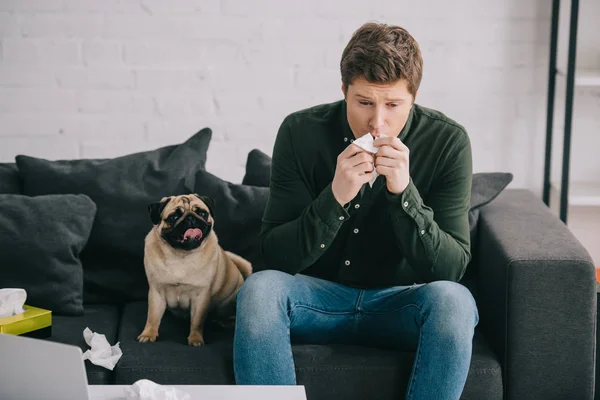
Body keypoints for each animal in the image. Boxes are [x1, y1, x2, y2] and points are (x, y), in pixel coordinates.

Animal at [137, 194, 252, 346]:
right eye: (173, 217)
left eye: (202, 213)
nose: (191, 218)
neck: (180, 256)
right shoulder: (157, 292)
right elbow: (153, 316)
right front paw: (148, 334)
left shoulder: (200, 297)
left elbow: (197, 321)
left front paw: (195, 339)